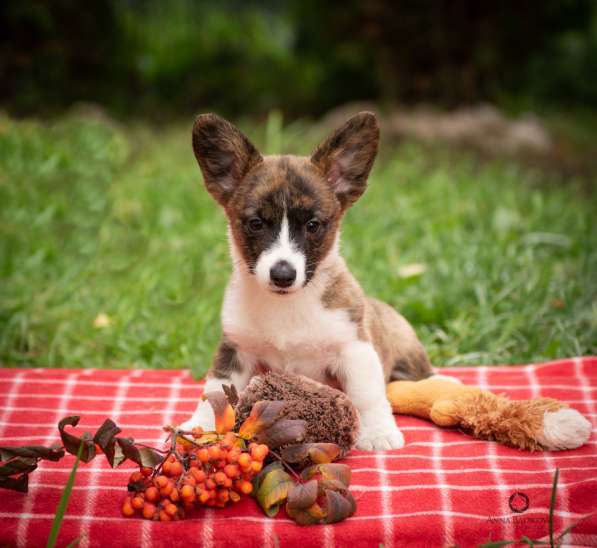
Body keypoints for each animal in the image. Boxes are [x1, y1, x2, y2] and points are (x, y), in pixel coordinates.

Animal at [184, 112, 430, 450]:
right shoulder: (235, 349)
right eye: (256, 223)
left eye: (313, 225)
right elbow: (215, 391)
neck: (287, 304)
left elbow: (367, 395)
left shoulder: (354, 349)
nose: (283, 275)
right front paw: (202, 425)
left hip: (409, 357)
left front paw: (378, 432)